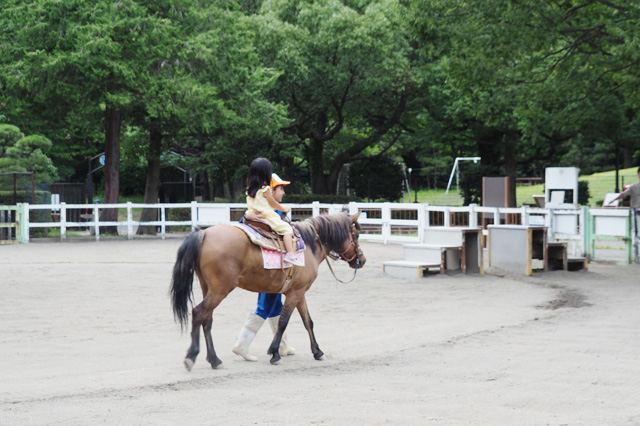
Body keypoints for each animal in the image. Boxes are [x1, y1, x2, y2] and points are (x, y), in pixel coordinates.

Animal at [170, 211, 366, 370]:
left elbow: (308, 321)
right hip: (220, 290)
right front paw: (275, 354)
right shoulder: (295, 293)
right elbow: (283, 321)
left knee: (207, 320)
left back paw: (214, 359)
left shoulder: (300, 292)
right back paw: (192, 356)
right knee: (198, 313)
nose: (362, 260)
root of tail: (204, 233)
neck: (310, 245)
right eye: (356, 234)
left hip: (208, 289)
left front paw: (318, 352)